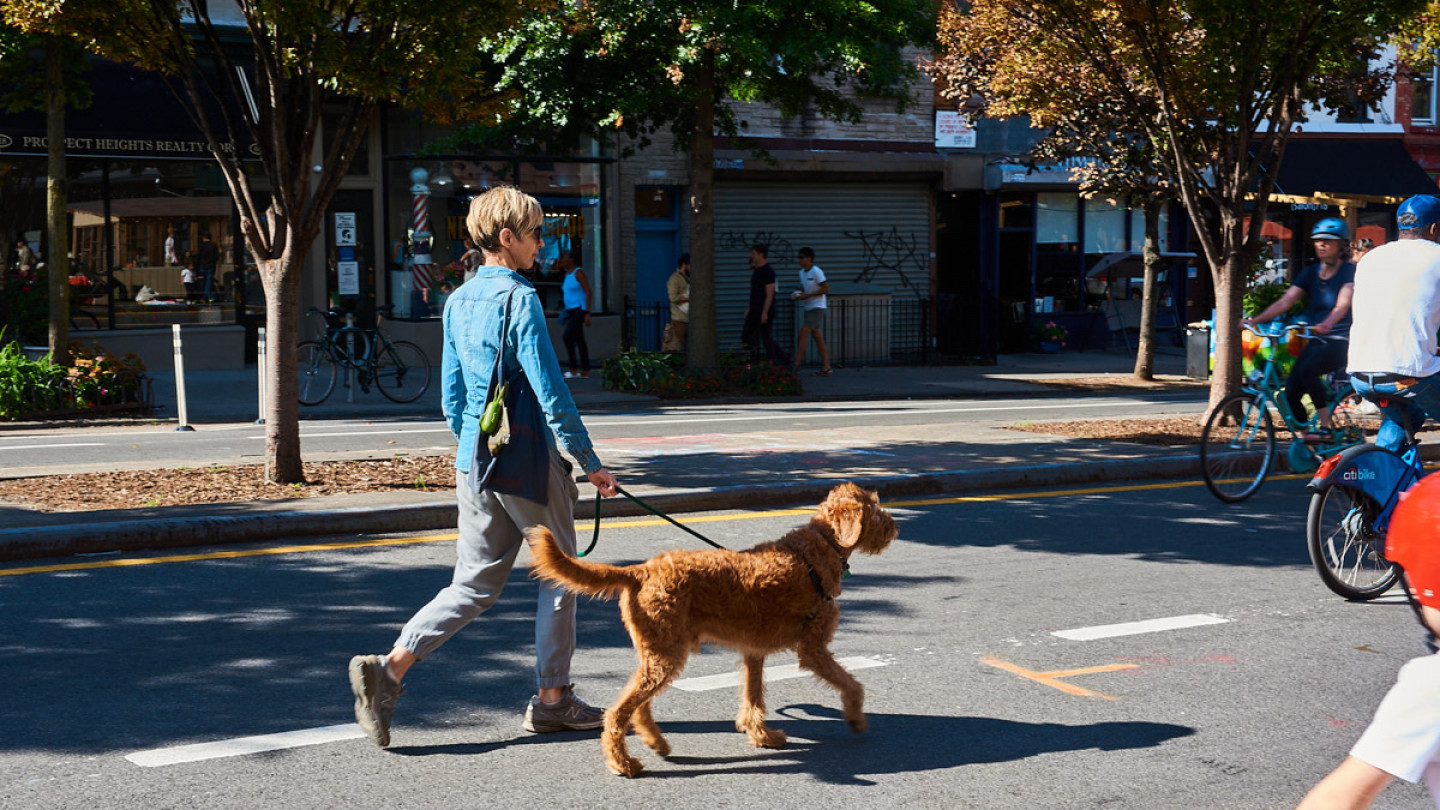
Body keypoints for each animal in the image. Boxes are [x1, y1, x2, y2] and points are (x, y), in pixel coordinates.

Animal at [524, 478, 892, 778]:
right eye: (874, 508)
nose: (894, 528)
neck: (819, 546)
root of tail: (641, 571)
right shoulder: (813, 649)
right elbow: (852, 685)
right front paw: (855, 718)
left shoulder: (753, 651)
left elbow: (753, 697)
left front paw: (760, 734)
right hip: (666, 655)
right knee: (618, 712)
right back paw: (623, 763)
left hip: (656, 653)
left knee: (638, 705)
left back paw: (656, 743)